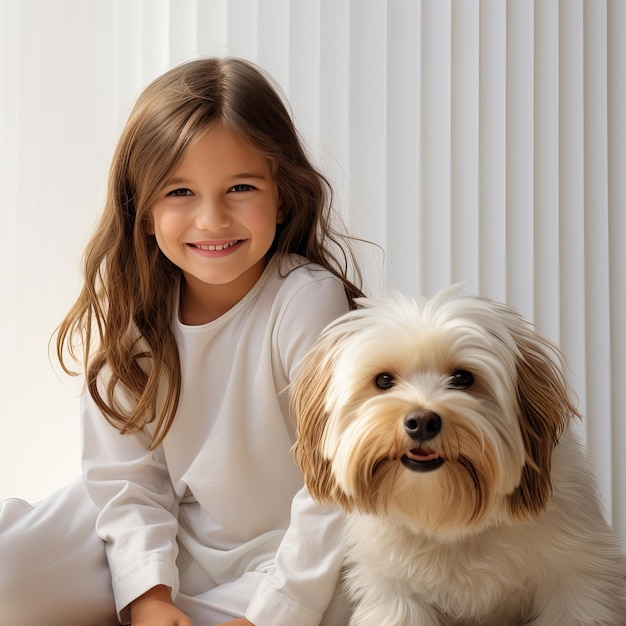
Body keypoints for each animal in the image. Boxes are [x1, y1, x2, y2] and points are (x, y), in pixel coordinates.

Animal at [292, 288, 624, 624]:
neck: (450, 518)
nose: (422, 421)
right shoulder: (395, 594)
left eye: (463, 378)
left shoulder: (576, 580)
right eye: (384, 381)